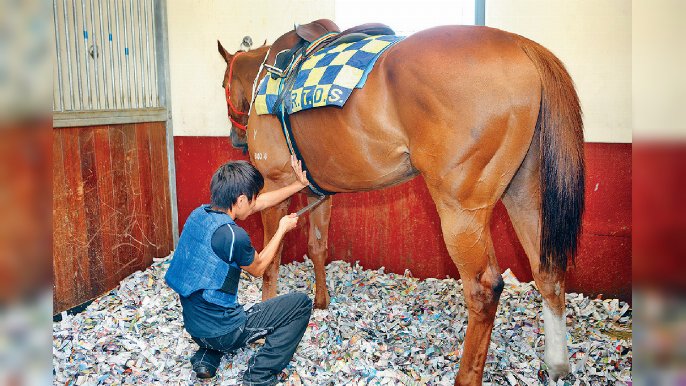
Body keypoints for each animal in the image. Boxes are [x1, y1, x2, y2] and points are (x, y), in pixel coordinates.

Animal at [218, 19, 584, 384]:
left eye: (224, 84)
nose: (235, 139)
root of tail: (520, 44)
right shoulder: (317, 192)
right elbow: (317, 247)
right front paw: (321, 302)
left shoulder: (274, 186)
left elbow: (271, 262)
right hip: (524, 194)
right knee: (547, 269)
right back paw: (557, 362)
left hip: (461, 211)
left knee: (483, 289)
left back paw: (467, 375)